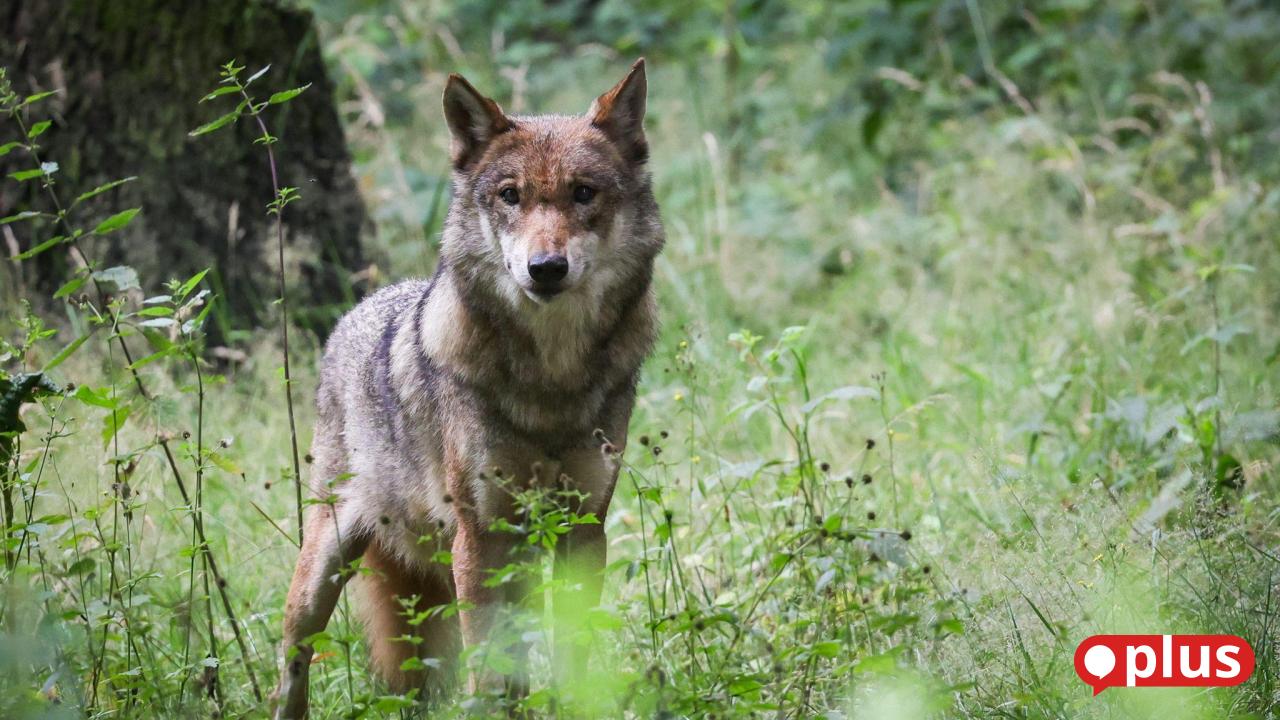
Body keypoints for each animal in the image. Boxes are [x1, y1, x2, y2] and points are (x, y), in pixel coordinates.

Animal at [271, 59, 663, 718]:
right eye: (510, 196)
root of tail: (356, 312)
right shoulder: (480, 538)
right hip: (324, 571)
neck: (551, 381)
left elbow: (572, 656)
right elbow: (489, 669)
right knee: (293, 663)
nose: (545, 268)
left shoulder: (583, 529)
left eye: (584, 193)